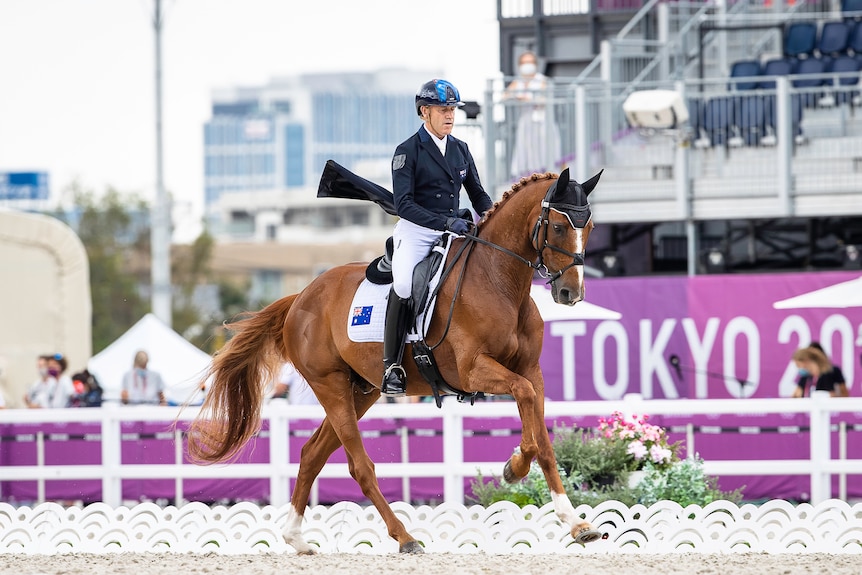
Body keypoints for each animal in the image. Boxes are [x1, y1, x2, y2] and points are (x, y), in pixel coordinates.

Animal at [191, 169, 608, 556]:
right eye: (558, 226)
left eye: (589, 227)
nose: (570, 292)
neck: (499, 281)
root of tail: (300, 298)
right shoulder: (475, 370)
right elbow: (526, 410)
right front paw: (514, 467)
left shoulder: (531, 372)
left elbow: (544, 441)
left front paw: (576, 523)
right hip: (330, 385)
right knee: (359, 466)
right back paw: (405, 537)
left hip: (363, 391)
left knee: (312, 454)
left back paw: (296, 538)